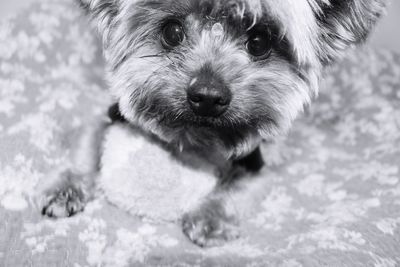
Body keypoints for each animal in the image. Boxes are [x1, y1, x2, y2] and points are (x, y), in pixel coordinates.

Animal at [40, 0, 384, 248]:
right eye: (172, 32)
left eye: (259, 41)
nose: (207, 95)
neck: (193, 136)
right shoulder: (107, 117)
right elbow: (85, 152)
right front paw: (64, 189)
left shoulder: (257, 165)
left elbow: (236, 189)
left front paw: (212, 218)